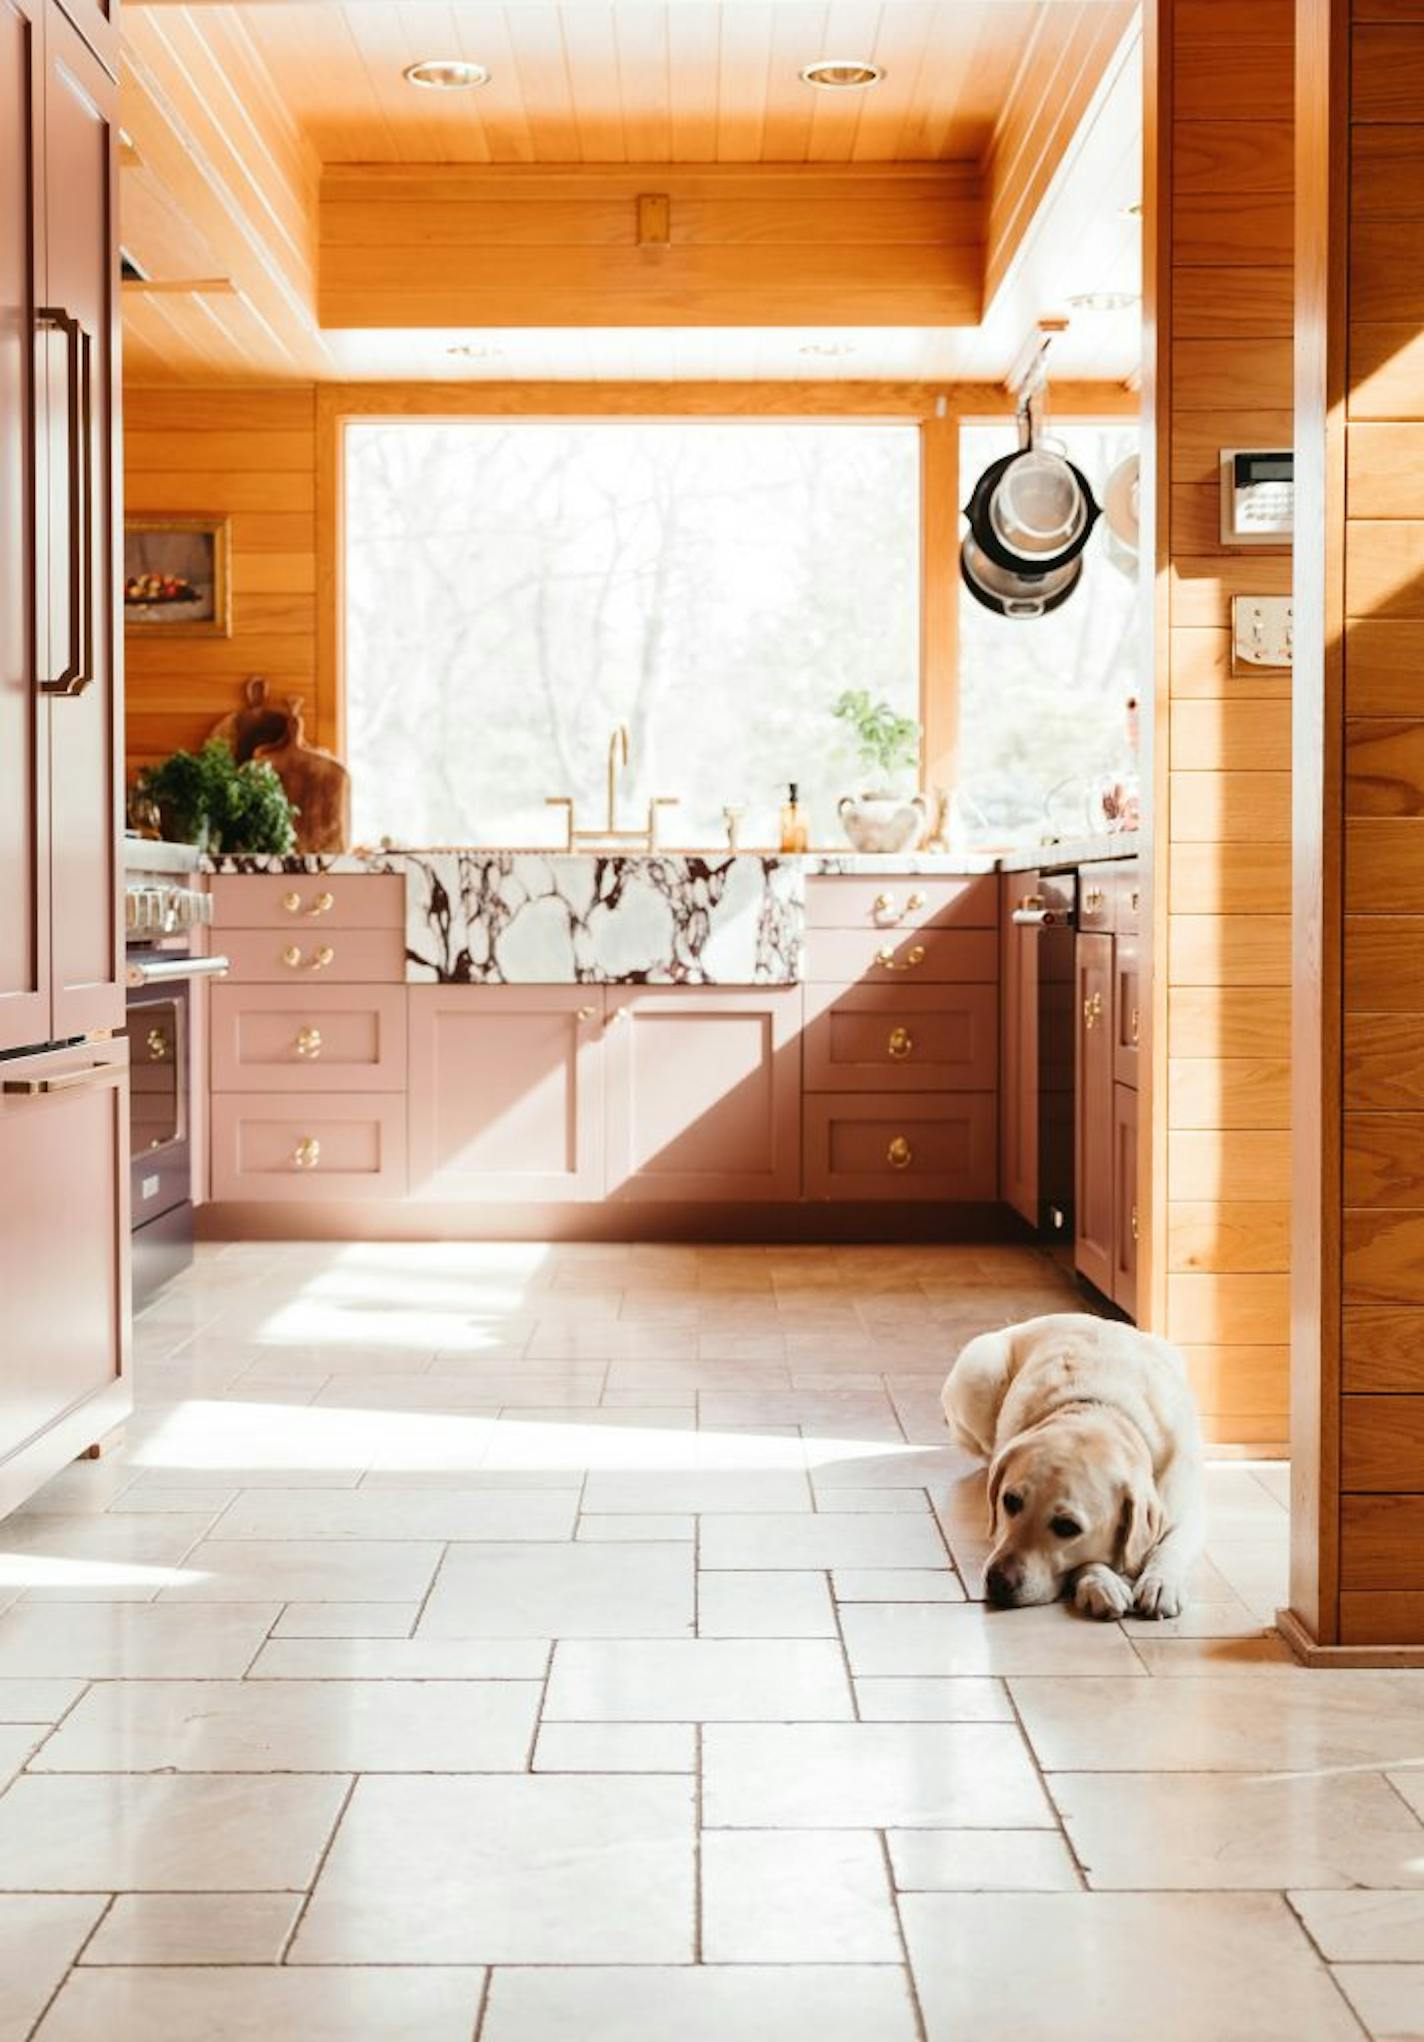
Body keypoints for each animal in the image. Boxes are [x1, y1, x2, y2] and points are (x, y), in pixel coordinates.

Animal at [943, 1315, 1201, 1617]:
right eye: (1010, 1501)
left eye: (1067, 1527)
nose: (997, 1580)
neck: (1099, 1410)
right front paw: (1102, 1582)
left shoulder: (1189, 1508)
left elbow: (1173, 1546)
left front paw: (1160, 1582)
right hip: (980, 1369)